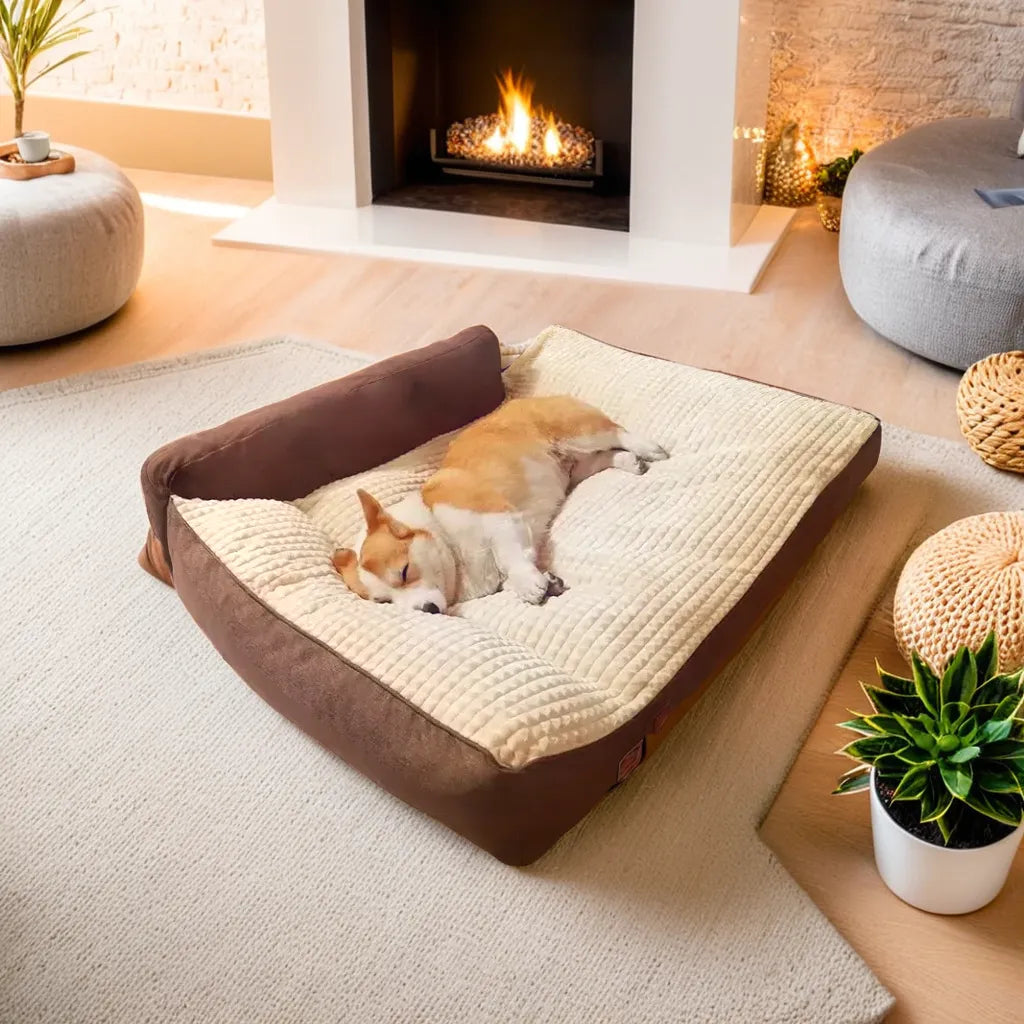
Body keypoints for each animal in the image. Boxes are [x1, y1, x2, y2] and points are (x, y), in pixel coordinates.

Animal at [335, 395, 667, 610]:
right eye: (384, 602)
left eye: (404, 572)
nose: (427, 610)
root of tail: (523, 399)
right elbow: (511, 574)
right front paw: (542, 582)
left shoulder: (499, 518)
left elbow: (510, 556)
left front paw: (529, 584)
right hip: (576, 466)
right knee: (603, 457)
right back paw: (629, 462)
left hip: (580, 434)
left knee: (617, 432)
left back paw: (648, 448)